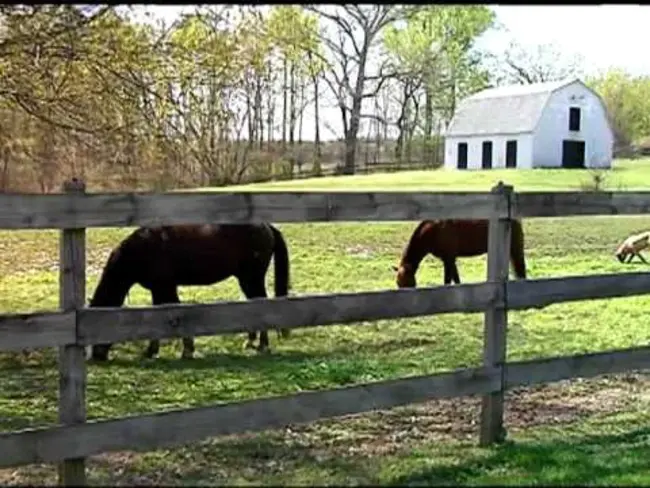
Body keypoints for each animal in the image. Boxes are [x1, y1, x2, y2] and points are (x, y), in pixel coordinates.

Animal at [87, 223, 290, 360]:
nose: (97, 355)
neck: (143, 248)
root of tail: (267, 227)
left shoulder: (164, 287)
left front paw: (181, 350)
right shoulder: (159, 288)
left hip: (251, 279)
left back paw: (262, 345)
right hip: (246, 281)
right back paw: (251, 342)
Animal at [390, 219, 528, 288]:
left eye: (408, 284)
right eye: (398, 284)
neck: (433, 230)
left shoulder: (448, 259)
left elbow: (447, 279)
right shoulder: (450, 259)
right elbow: (455, 278)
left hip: (515, 249)